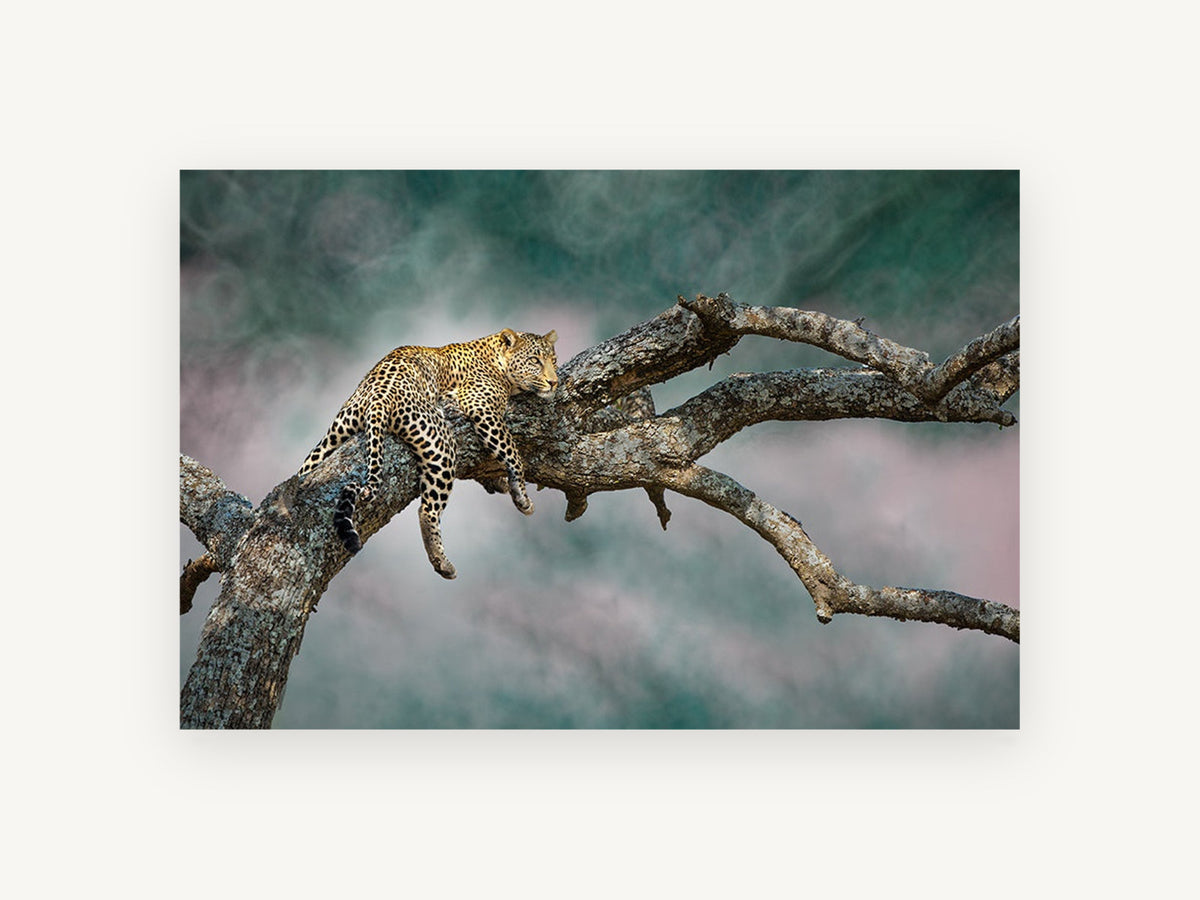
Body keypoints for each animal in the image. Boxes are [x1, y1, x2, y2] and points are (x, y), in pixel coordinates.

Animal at [298, 328, 559, 580]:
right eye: (535, 360)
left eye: (553, 360)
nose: (554, 382)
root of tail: (379, 396)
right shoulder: (482, 407)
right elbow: (512, 451)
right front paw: (521, 495)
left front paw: (501, 482)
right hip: (441, 443)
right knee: (427, 509)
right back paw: (442, 562)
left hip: (334, 436)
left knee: (305, 469)